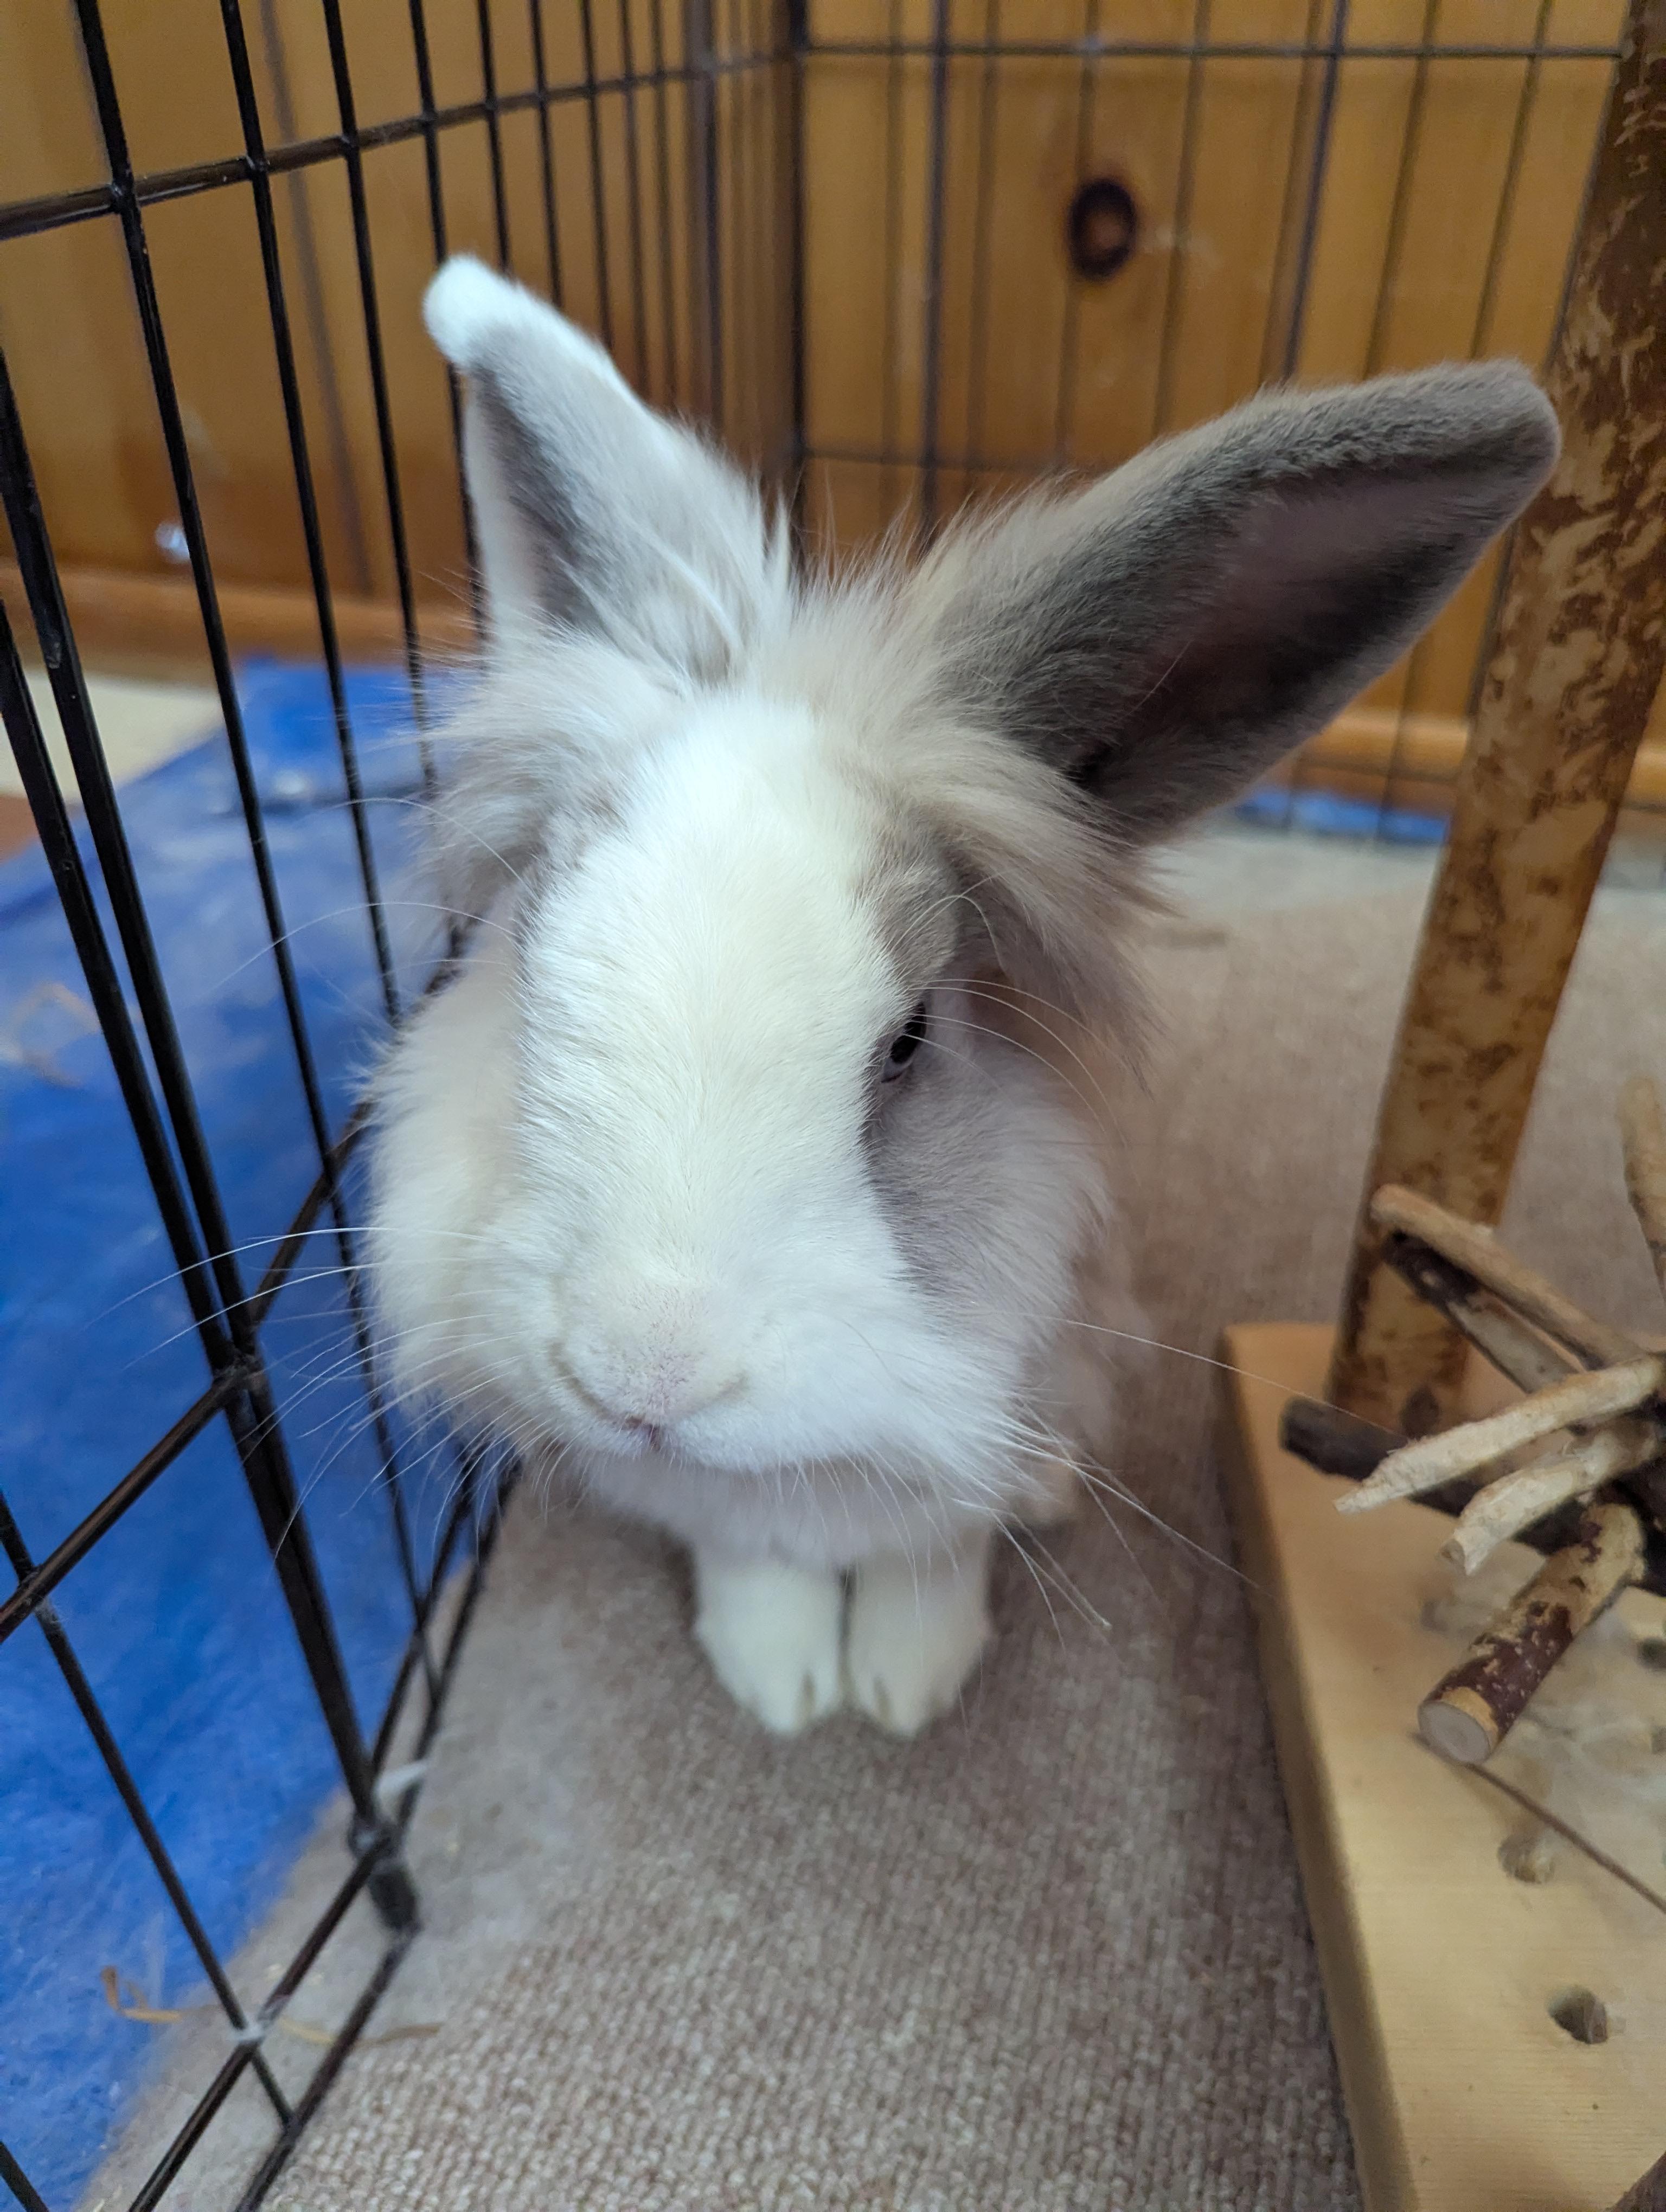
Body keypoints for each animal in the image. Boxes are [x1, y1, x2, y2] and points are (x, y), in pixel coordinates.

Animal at [366, 254, 1558, 1738]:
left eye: (907, 1041)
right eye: (530, 957)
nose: (640, 1374)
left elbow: (937, 1545)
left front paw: (905, 1687)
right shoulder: (717, 1502)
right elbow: (746, 1549)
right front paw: (778, 1681)